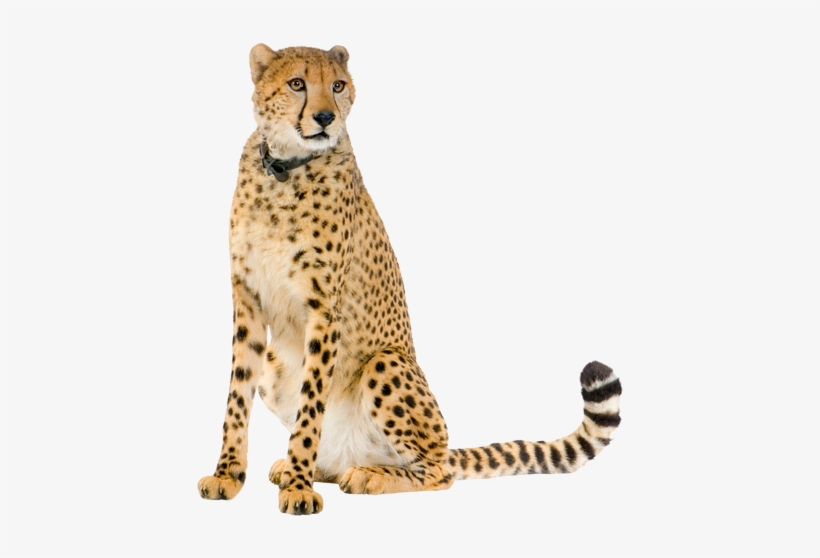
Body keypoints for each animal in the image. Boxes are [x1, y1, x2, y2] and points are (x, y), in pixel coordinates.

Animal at [197, 44, 622, 515]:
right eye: (297, 83)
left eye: (338, 85)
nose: (326, 117)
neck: (284, 170)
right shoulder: (248, 302)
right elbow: (237, 397)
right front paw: (228, 474)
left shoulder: (324, 311)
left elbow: (310, 408)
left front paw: (298, 488)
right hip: (277, 368)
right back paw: (299, 466)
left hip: (387, 363)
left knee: (438, 473)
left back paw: (364, 474)